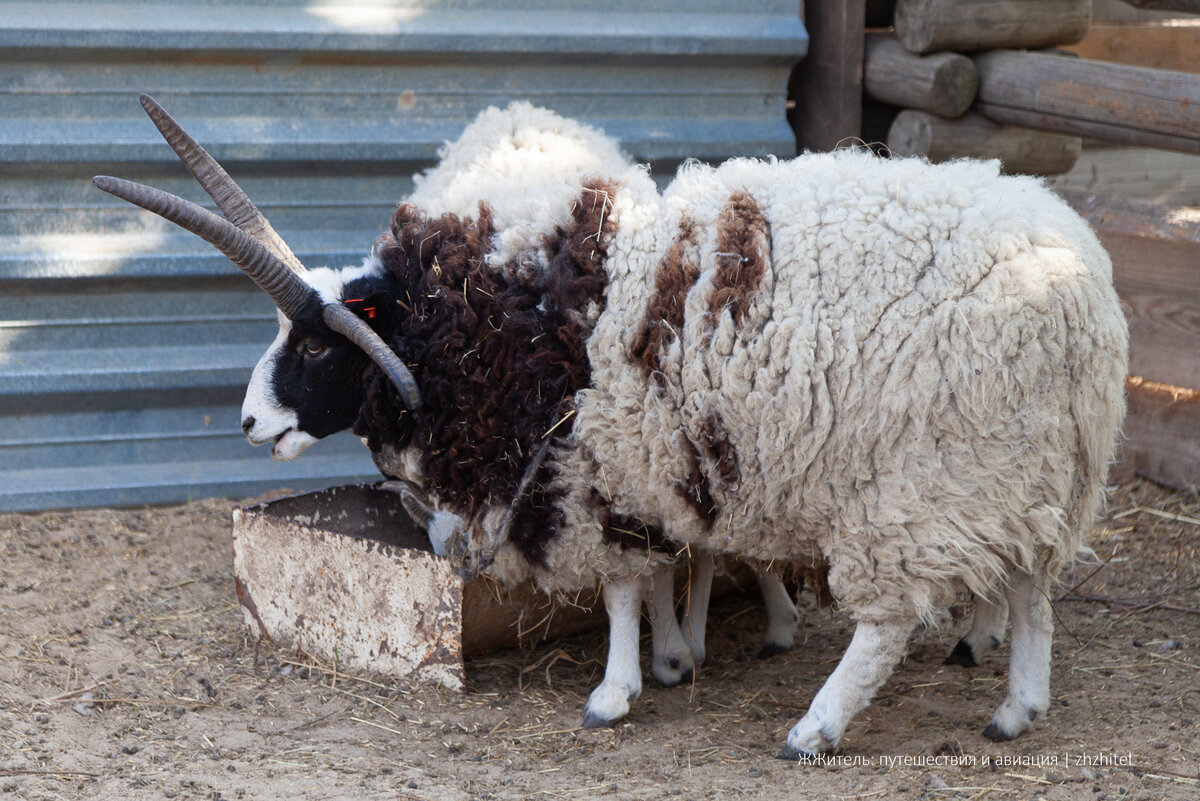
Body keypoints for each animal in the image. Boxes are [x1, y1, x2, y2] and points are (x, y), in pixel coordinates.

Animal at [93, 95, 1123, 757]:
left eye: (313, 344)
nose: (248, 419)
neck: (498, 321)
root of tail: (1083, 294)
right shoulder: (633, 470)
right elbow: (653, 572)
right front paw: (664, 661)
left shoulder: (597, 470)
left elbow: (625, 585)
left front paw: (617, 689)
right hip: (1021, 471)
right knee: (1033, 588)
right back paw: (1017, 709)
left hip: (923, 481)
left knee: (892, 619)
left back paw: (815, 728)